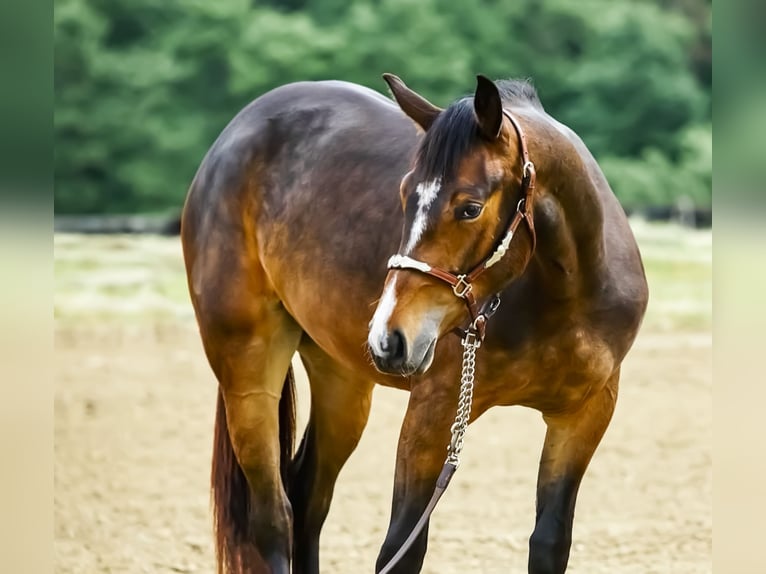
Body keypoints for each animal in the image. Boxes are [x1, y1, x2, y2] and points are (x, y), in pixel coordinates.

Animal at [181, 73, 649, 574]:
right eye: (405, 194)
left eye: (470, 207)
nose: (390, 338)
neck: (562, 296)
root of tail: (234, 135)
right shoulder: (433, 414)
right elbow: (402, 547)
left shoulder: (583, 416)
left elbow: (549, 542)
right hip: (248, 370)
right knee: (273, 516)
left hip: (342, 381)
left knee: (307, 500)